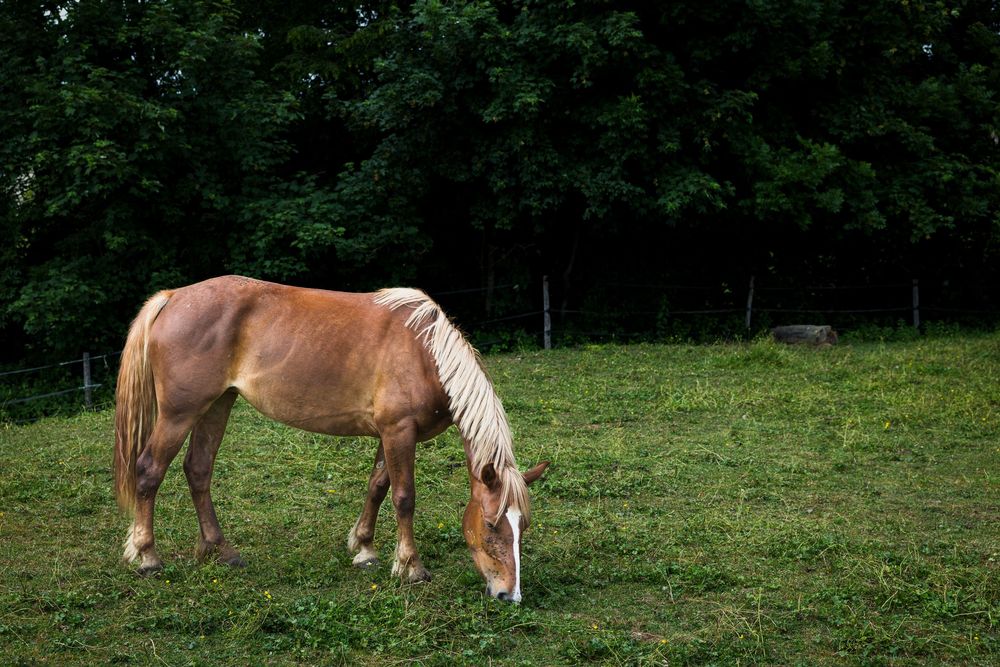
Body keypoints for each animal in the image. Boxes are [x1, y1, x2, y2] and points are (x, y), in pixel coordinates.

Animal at [113, 275, 548, 602]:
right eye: (491, 524)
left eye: (523, 525)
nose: (510, 594)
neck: (424, 352)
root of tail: (172, 298)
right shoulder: (399, 431)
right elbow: (404, 497)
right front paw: (410, 567)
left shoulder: (388, 433)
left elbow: (377, 486)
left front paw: (365, 549)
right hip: (180, 413)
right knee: (149, 470)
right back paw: (148, 557)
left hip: (217, 405)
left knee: (198, 470)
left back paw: (220, 550)